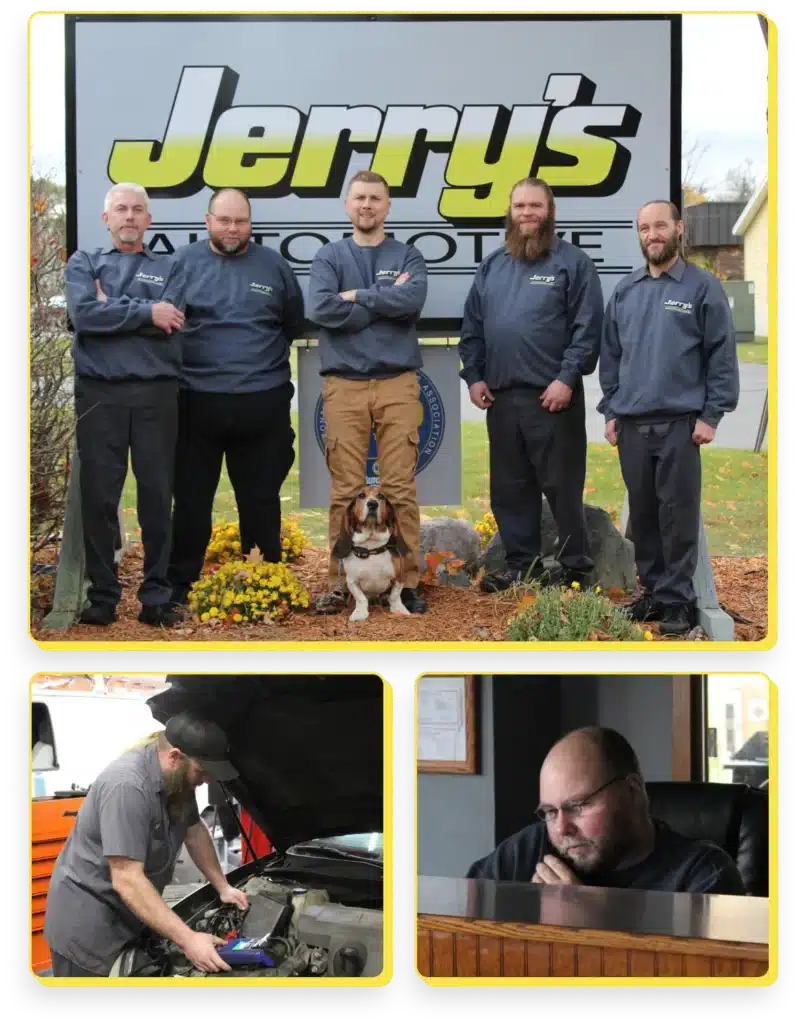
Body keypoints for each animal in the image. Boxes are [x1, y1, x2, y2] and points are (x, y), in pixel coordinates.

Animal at [329, 487, 411, 622]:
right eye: (361, 495)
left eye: (381, 496)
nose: (372, 503)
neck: (371, 548)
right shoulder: (351, 581)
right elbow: (361, 598)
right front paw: (360, 613)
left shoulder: (400, 576)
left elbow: (394, 596)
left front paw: (399, 609)